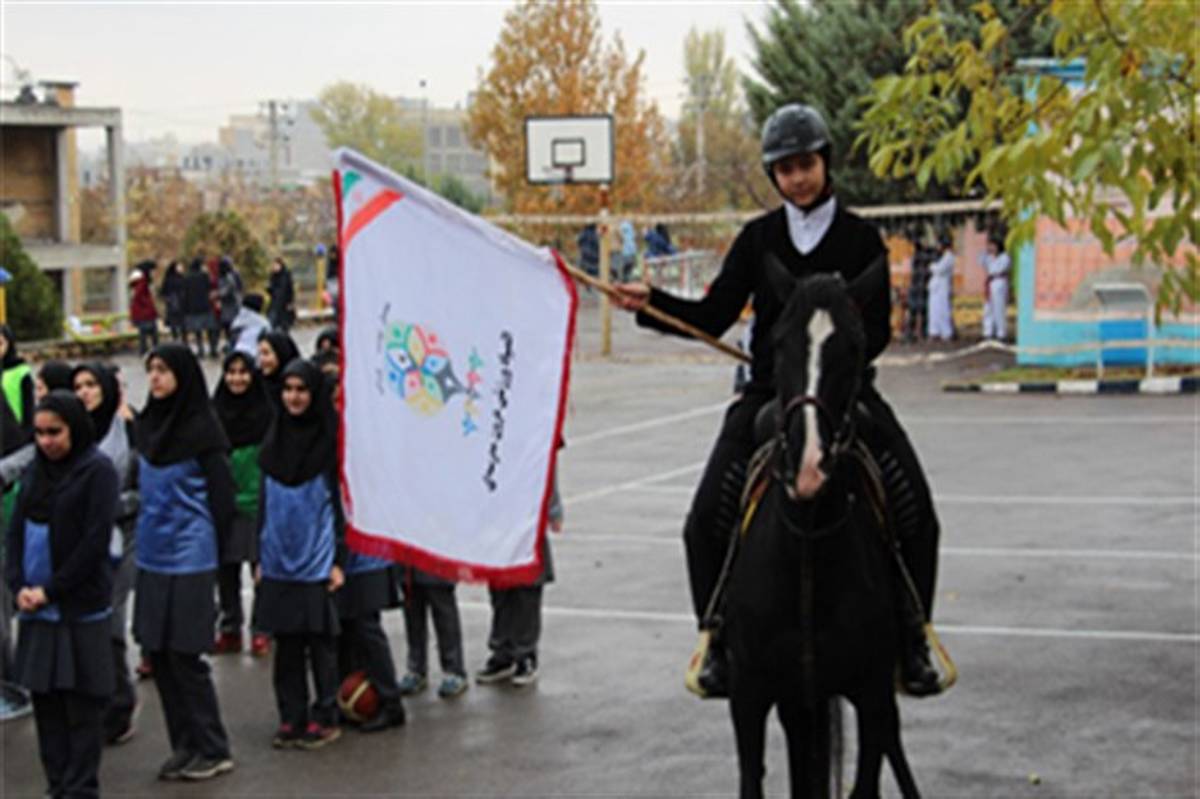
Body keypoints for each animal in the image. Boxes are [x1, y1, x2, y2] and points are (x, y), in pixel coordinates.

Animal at [720, 268, 916, 796]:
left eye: (855, 345)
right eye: (780, 342)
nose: (809, 465)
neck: (806, 548)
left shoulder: (871, 697)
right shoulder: (750, 696)